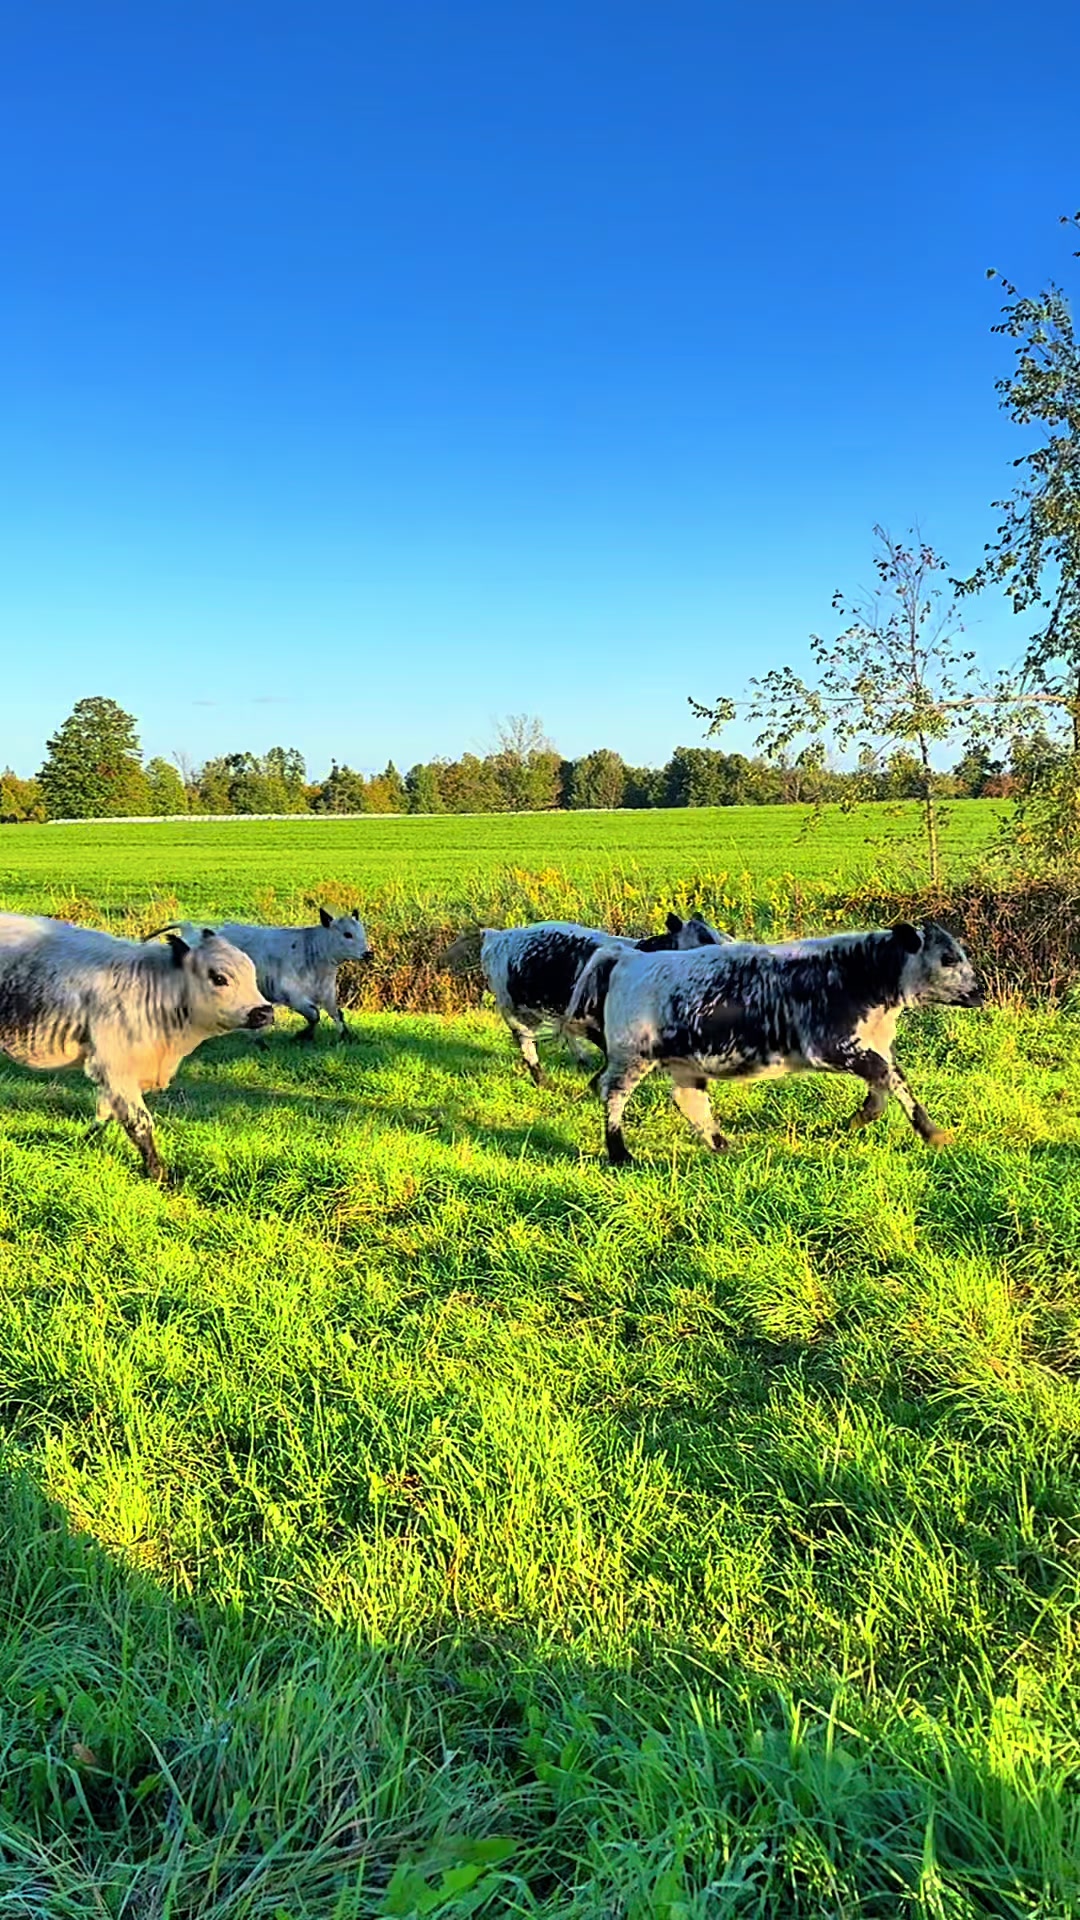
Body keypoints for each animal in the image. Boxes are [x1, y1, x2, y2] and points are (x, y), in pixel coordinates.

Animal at [0, 915, 273, 1180]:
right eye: (219, 978)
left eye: (251, 973)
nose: (265, 1012)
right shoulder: (115, 1066)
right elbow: (139, 1122)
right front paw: (158, 1175)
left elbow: (105, 1112)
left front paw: (84, 1142)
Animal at [206, 908, 373, 1041]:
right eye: (347, 934)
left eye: (362, 933)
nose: (369, 953)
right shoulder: (293, 996)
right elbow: (315, 1015)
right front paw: (302, 1036)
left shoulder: (328, 995)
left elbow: (337, 1014)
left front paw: (346, 1036)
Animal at [565, 920, 982, 1164]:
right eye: (948, 957)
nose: (980, 993)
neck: (860, 975)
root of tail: (627, 957)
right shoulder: (832, 1046)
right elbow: (889, 1079)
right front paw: (932, 1133)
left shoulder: (872, 1046)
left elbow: (890, 1081)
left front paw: (861, 1118)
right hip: (631, 1056)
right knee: (612, 1093)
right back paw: (619, 1152)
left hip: (684, 1062)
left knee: (689, 1100)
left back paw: (721, 1145)